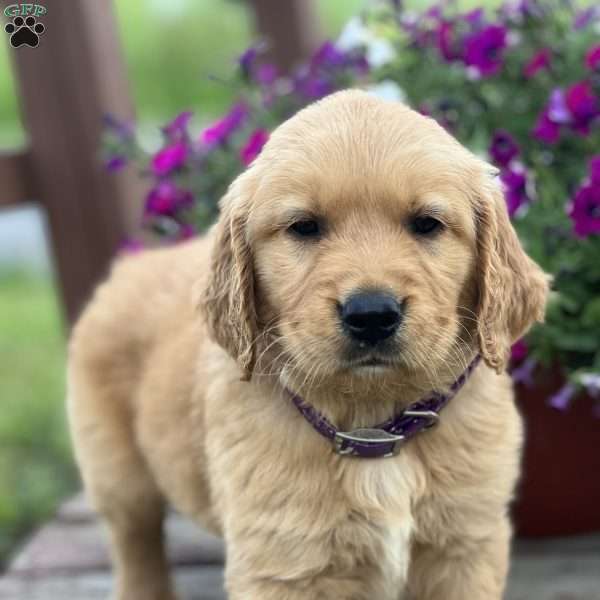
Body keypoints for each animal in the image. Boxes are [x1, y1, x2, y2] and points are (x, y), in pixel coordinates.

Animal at [69, 90, 548, 600]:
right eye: (303, 227)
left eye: (426, 224)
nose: (371, 315)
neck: (374, 434)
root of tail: (129, 266)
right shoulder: (283, 565)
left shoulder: (465, 545)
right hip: (118, 475)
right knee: (135, 544)